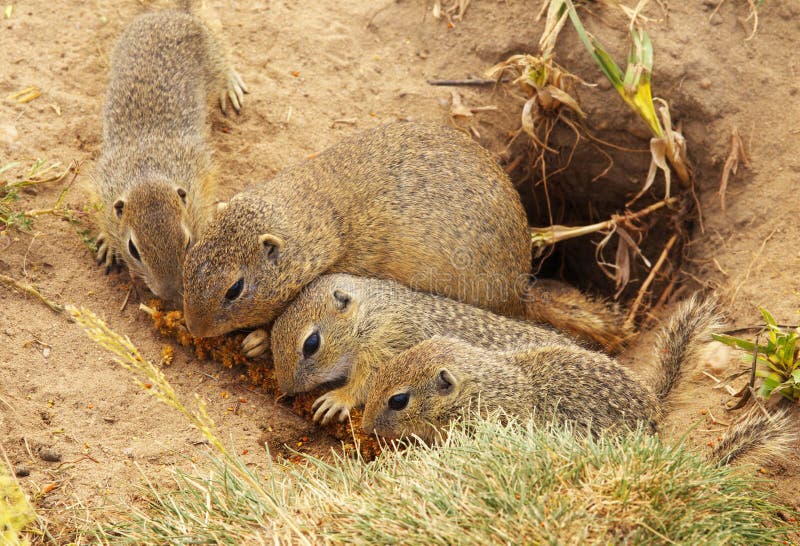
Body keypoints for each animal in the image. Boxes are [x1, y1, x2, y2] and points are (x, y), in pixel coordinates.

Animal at [91, 1, 247, 303]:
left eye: (187, 241)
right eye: (133, 249)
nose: (171, 292)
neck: (148, 171)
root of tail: (177, 13)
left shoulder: (201, 174)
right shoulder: (103, 186)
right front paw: (107, 243)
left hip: (214, 57)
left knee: (223, 51)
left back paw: (230, 84)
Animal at [182, 121, 627, 350]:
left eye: (235, 289)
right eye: (189, 259)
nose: (194, 329)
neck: (320, 214)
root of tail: (518, 291)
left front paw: (258, 338)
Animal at [270, 273, 579, 425]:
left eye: (311, 344)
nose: (287, 388)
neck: (374, 313)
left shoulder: (389, 345)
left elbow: (365, 384)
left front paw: (338, 399)